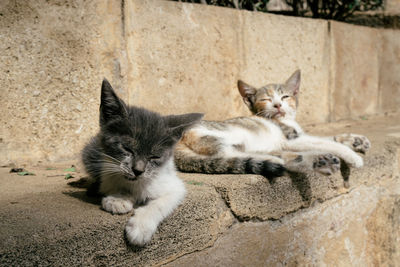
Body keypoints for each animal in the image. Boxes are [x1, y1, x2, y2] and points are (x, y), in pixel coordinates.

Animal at [82, 79, 203, 247]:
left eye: (155, 157)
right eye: (126, 148)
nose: (138, 170)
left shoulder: (174, 186)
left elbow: (161, 202)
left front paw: (140, 227)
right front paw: (118, 199)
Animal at [175, 70, 368, 178]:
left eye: (285, 96)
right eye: (266, 99)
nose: (277, 105)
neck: (285, 120)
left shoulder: (298, 136)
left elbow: (328, 138)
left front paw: (356, 141)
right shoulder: (292, 138)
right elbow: (326, 142)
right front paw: (353, 156)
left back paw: (317, 161)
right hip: (219, 137)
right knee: (229, 156)